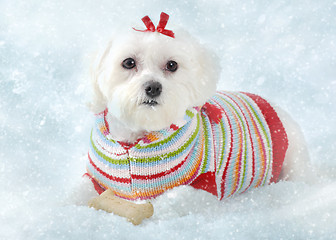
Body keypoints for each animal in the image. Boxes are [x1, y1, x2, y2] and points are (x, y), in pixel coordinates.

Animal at [83, 11, 310, 225]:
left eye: (172, 65)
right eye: (128, 62)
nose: (153, 87)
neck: (139, 135)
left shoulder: (204, 186)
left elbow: (170, 201)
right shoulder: (96, 180)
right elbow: (81, 190)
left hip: (293, 159)